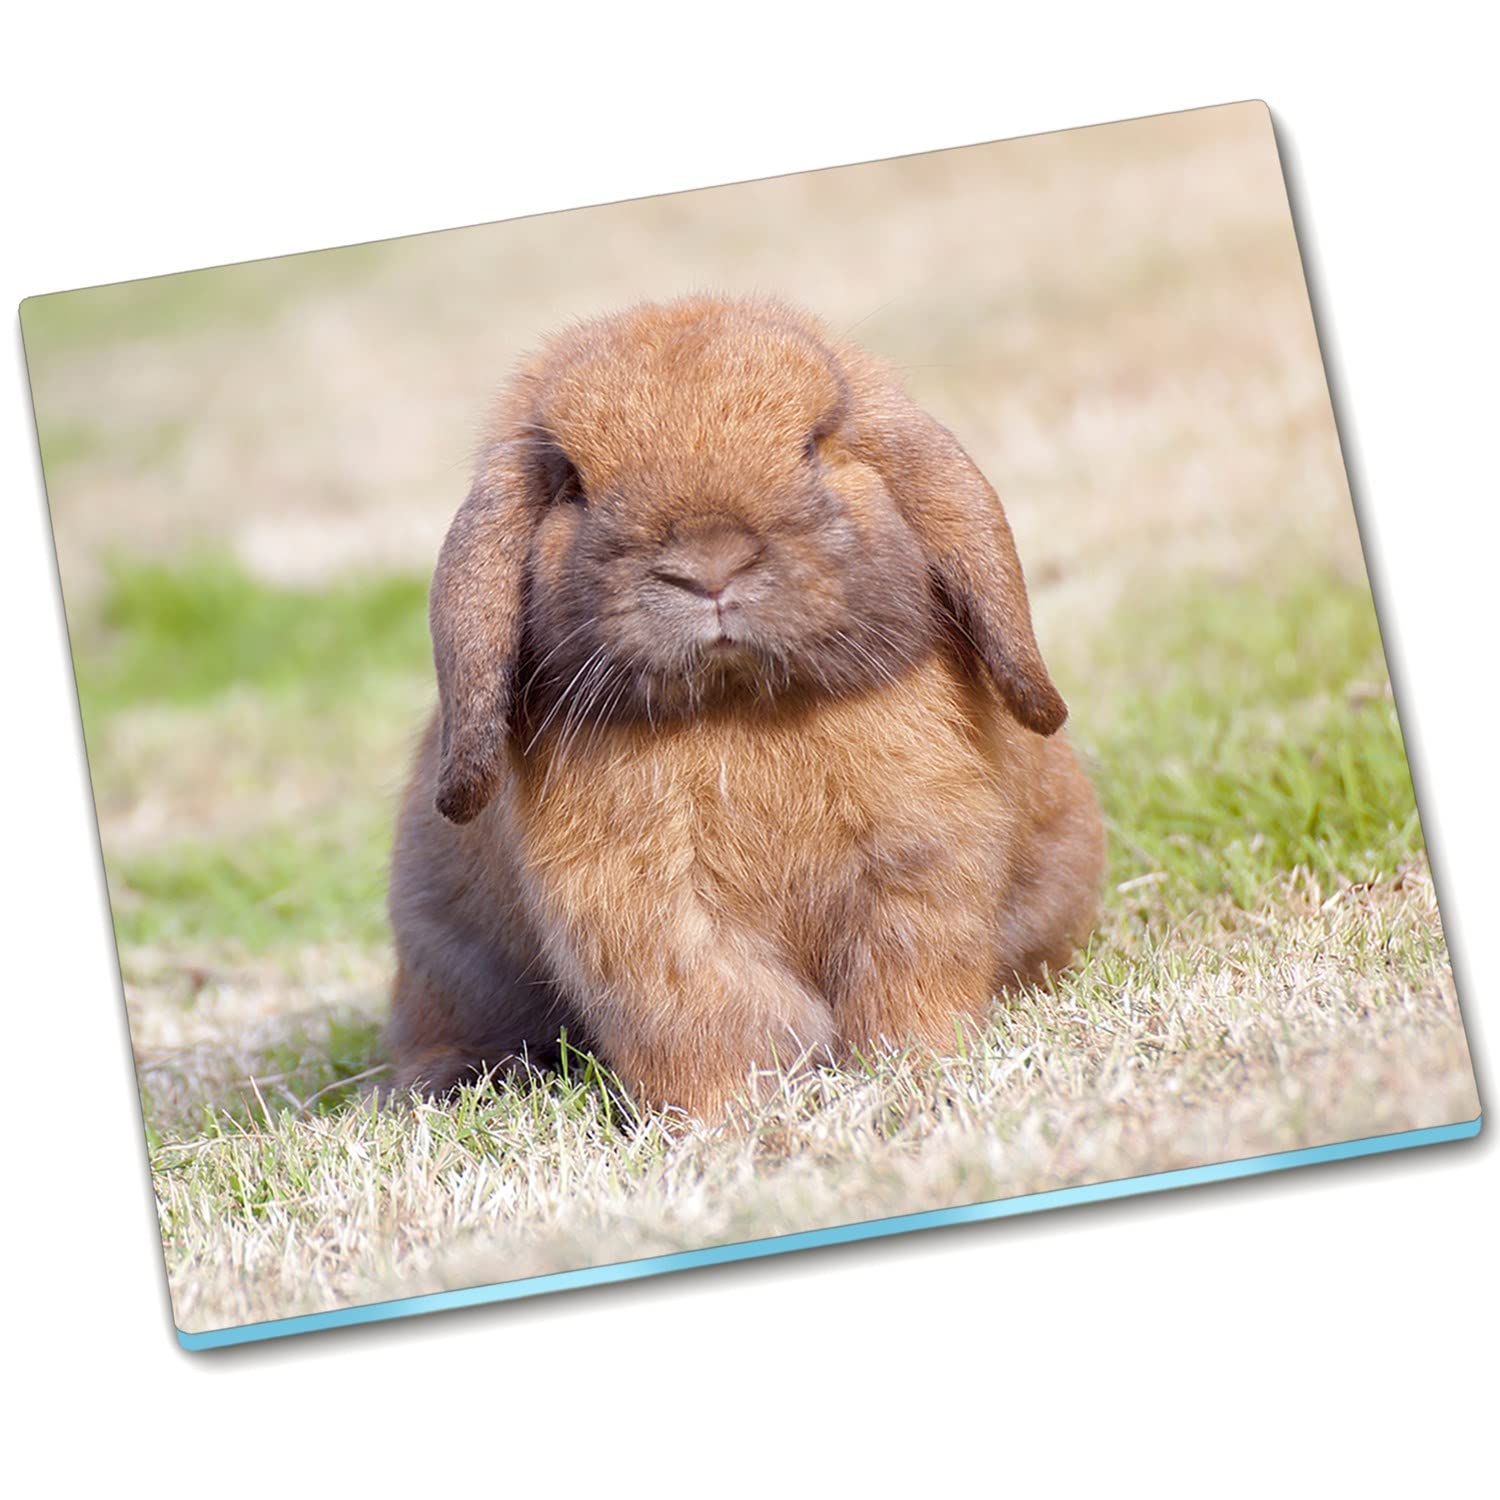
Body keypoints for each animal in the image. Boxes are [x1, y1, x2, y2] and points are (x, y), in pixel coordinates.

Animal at [386, 295, 1104, 1119]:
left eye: (814, 445)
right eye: (571, 482)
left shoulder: (917, 870)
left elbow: (906, 989)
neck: (741, 709)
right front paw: (727, 1117)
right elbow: (714, 1023)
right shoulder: (654, 923)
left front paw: (918, 1071)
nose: (710, 563)